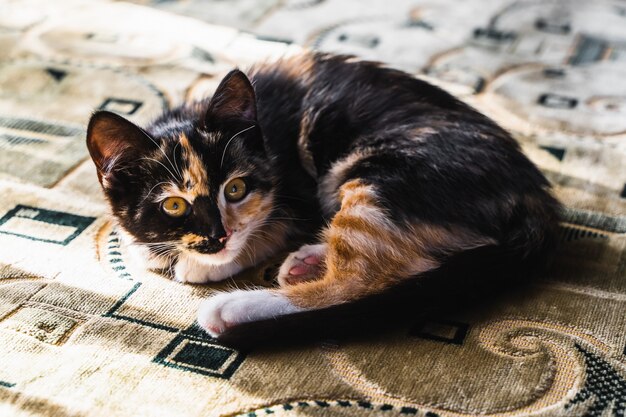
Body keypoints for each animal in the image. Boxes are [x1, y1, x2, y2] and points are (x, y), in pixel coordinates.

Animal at [85, 52, 560, 338]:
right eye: (174, 205)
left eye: (235, 189)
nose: (218, 237)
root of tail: (535, 194)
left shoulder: (297, 192)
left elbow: (267, 228)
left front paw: (205, 264)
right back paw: (308, 260)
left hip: (377, 175)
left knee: (361, 281)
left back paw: (234, 307)